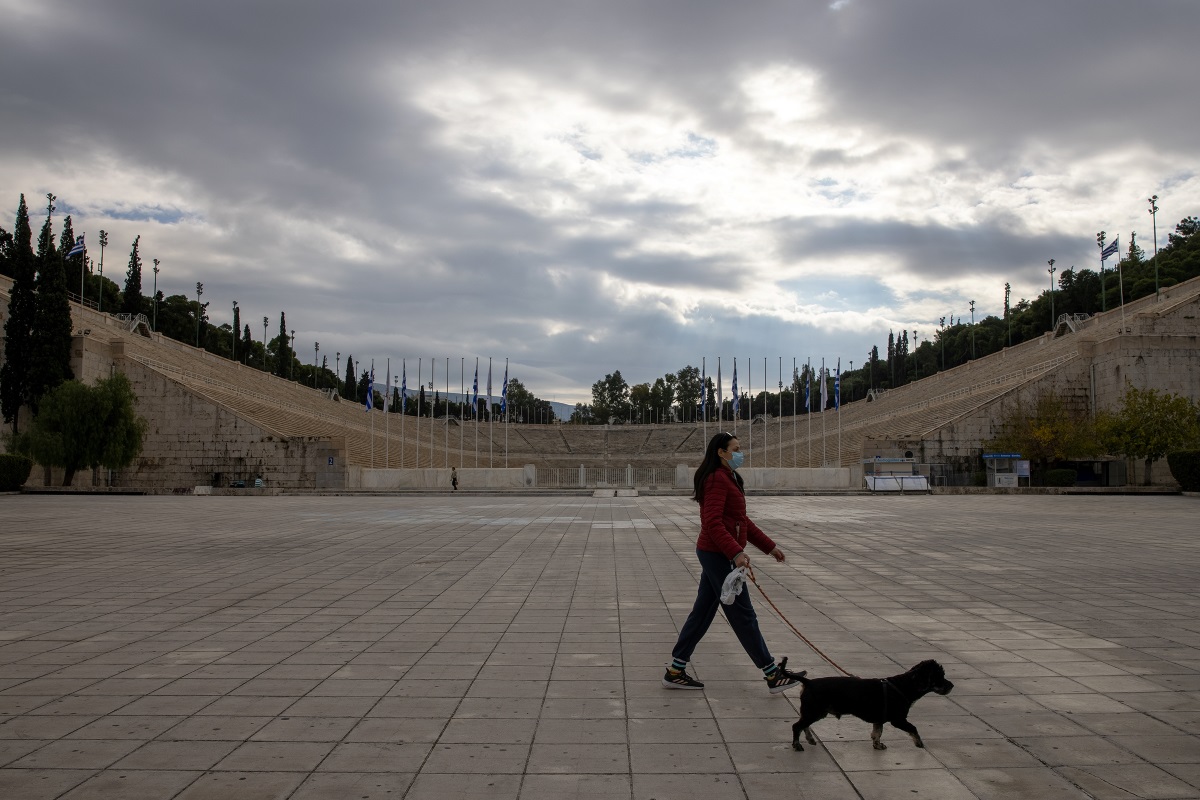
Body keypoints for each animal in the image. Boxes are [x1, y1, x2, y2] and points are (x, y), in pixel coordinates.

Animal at [792, 657, 950, 753]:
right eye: (940, 676)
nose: (952, 686)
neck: (904, 686)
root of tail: (808, 682)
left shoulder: (879, 720)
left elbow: (877, 733)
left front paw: (877, 745)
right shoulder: (898, 719)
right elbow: (913, 728)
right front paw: (919, 743)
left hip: (812, 712)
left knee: (804, 725)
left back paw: (810, 740)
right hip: (814, 711)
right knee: (797, 726)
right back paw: (797, 745)